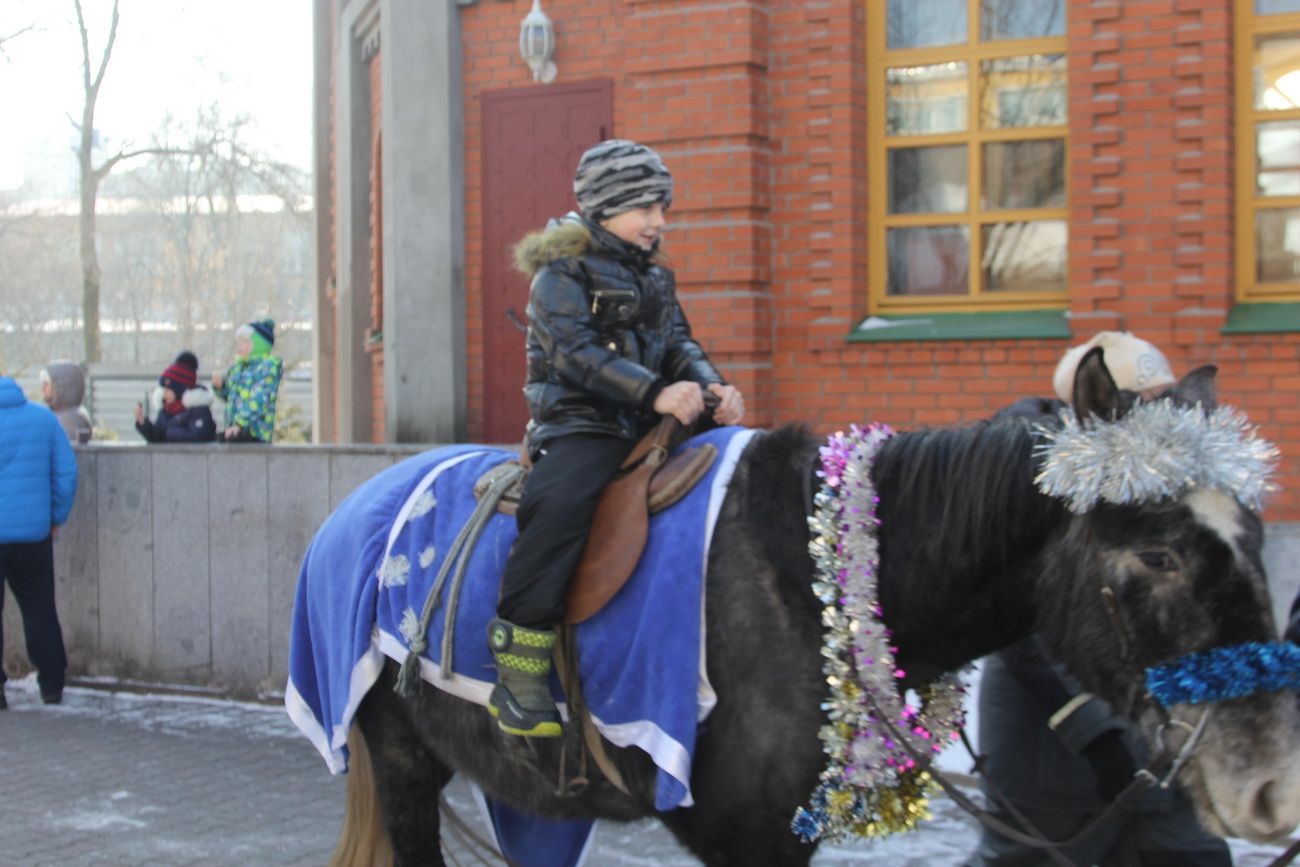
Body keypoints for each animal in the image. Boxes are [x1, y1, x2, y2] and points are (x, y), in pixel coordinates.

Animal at [320, 350, 1300, 866]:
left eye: (1255, 535)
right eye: (1157, 553)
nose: (1270, 786)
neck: (809, 577)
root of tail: (351, 509)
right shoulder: (744, 838)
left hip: (523, 787)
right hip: (402, 758)